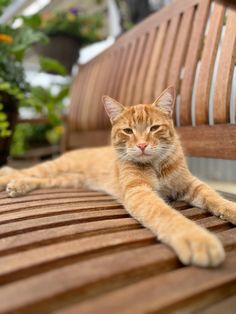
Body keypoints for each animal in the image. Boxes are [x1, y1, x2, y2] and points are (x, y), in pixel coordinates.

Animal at [0, 87, 236, 266]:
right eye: (128, 131)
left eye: (154, 127)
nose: (142, 145)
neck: (156, 165)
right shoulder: (138, 191)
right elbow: (164, 214)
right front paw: (196, 238)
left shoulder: (190, 184)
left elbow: (213, 196)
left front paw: (230, 209)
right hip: (54, 167)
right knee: (27, 171)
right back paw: (10, 179)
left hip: (68, 180)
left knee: (40, 180)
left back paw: (18, 186)